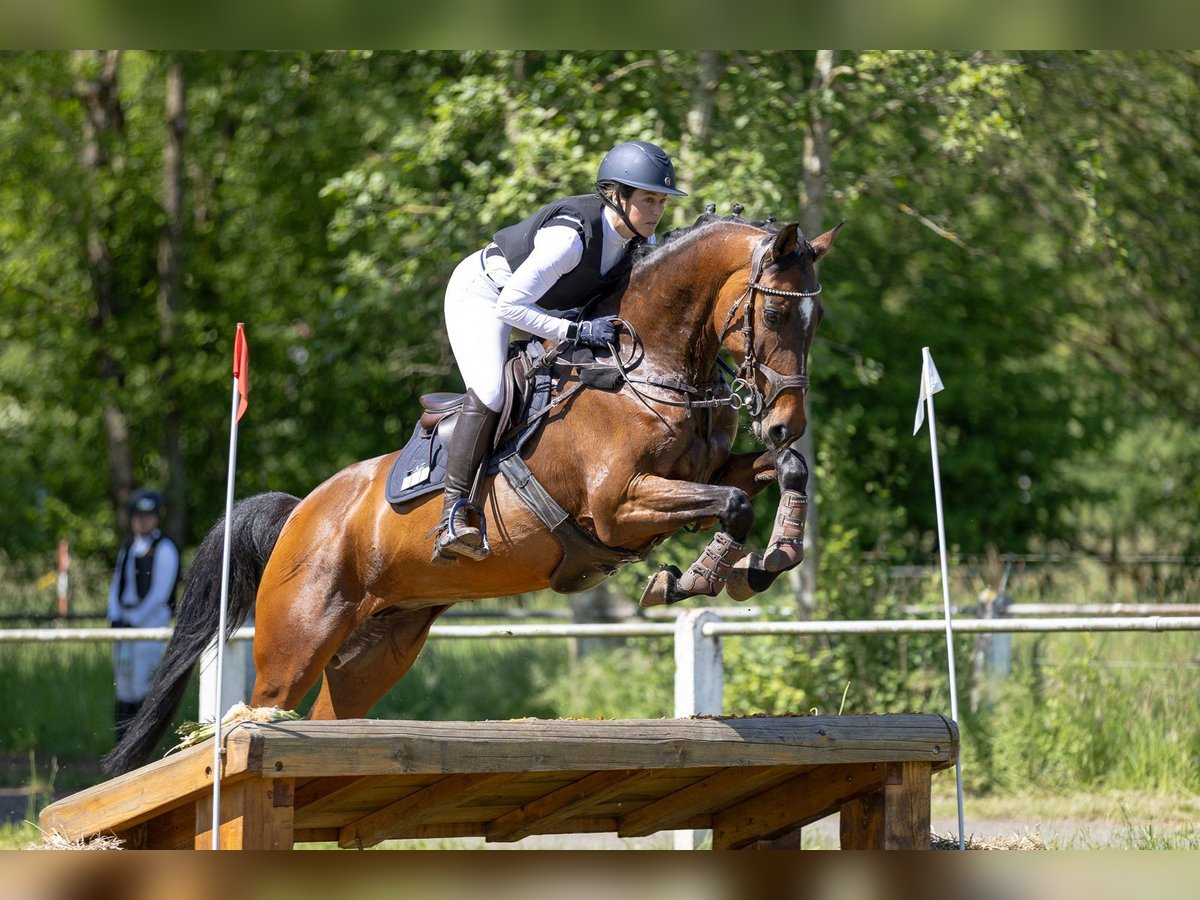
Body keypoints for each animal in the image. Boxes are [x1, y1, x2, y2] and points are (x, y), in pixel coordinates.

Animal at [103, 211, 840, 777]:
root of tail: (297, 515)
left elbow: (782, 475)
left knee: (330, 716)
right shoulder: (618, 506)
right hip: (296, 641)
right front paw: (694, 577)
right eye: (777, 309)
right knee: (261, 709)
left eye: (817, 317)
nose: (785, 422)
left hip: (377, 650)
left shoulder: (707, 470)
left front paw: (771, 558)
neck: (647, 368)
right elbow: (731, 505)